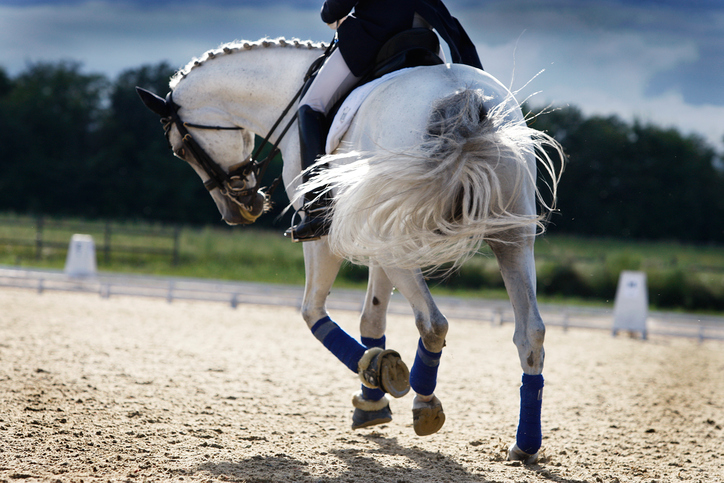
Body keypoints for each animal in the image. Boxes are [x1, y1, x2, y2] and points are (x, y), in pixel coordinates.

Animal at [137, 38, 564, 466]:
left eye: (180, 150)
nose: (238, 211)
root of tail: (461, 97)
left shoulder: (323, 237)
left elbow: (312, 312)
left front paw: (376, 371)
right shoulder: (375, 241)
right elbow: (371, 320)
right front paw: (373, 399)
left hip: (397, 233)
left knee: (433, 322)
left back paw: (425, 403)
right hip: (510, 236)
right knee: (530, 334)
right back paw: (525, 445)